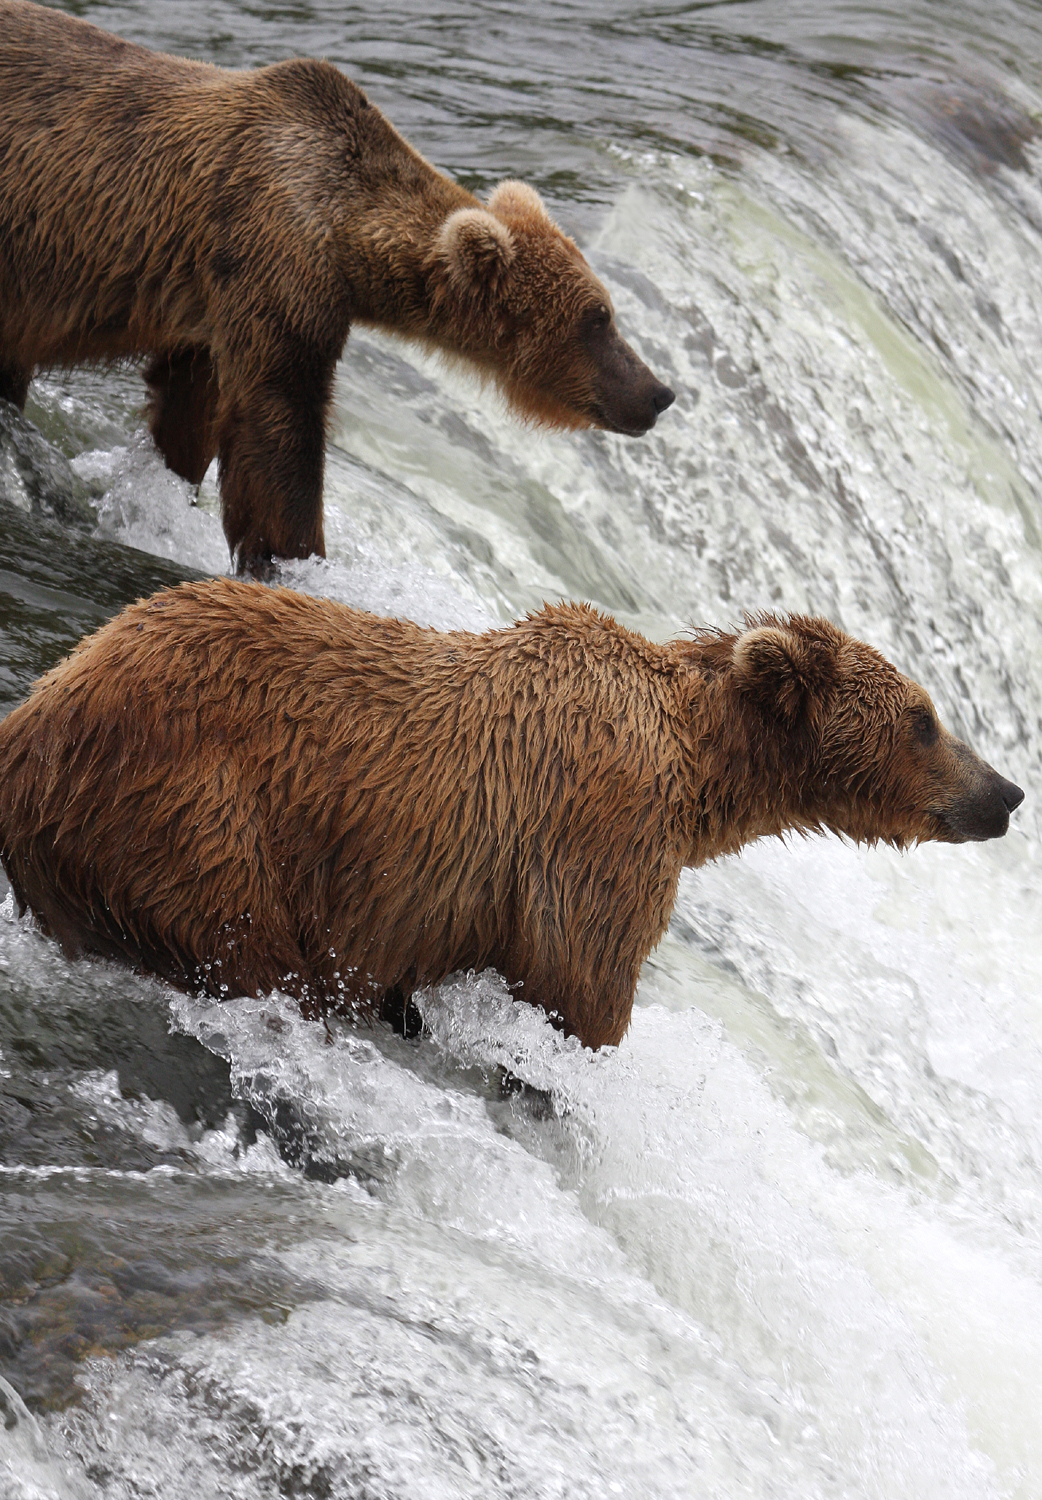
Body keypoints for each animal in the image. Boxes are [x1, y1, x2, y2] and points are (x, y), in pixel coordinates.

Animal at [0, 2, 675, 573]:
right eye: (597, 318)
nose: (659, 392)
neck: (347, 235)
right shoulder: (273, 264)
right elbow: (279, 426)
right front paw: (297, 558)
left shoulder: (208, 307)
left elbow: (189, 405)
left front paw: (170, 490)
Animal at [0, 580, 1023, 1050]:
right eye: (926, 718)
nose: (1006, 794)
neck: (700, 772)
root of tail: (36, 716)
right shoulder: (601, 829)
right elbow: (582, 985)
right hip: (192, 812)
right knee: (247, 941)